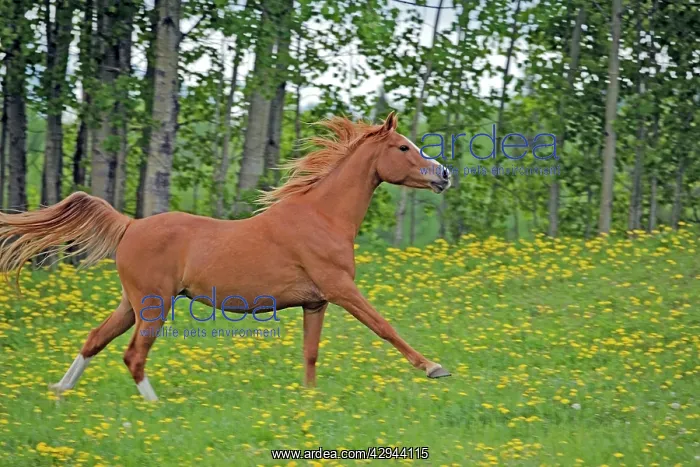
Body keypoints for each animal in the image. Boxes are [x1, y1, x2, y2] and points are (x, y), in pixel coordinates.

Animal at [0, 112, 451, 401]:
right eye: (403, 147)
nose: (444, 175)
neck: (322, 216)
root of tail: (130, 226)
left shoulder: (316, 302)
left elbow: (310, 353)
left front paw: (309, 402)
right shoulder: (341, 288)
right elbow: (384, 327)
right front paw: (435, 368)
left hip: (132, 302)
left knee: (95, 339)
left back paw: (61, 391)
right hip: (154, 303)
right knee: (134, 355)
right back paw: (156, 408)